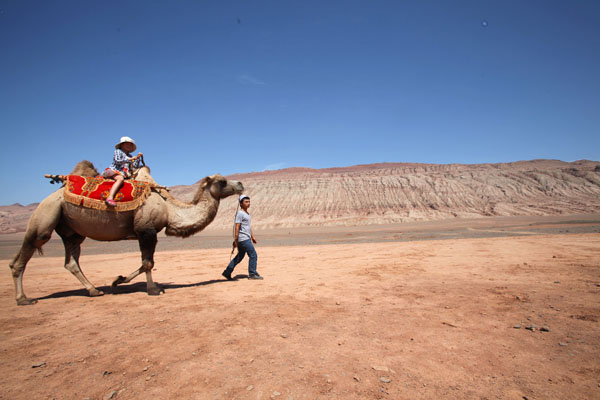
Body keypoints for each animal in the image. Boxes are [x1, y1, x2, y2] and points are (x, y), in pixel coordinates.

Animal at [8, 161, 243, 304]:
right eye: (222, 181)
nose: (240, 184)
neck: (169, 209)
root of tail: (49, 196)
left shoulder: (144, 232)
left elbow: (144, 263)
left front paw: (118, 280)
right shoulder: (146, 230)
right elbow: (148, 263)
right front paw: (153, 289)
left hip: (71, 230)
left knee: (71, 262)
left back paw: (94, 290)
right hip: (46, 216)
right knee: (23, 256)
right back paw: (23, 299)